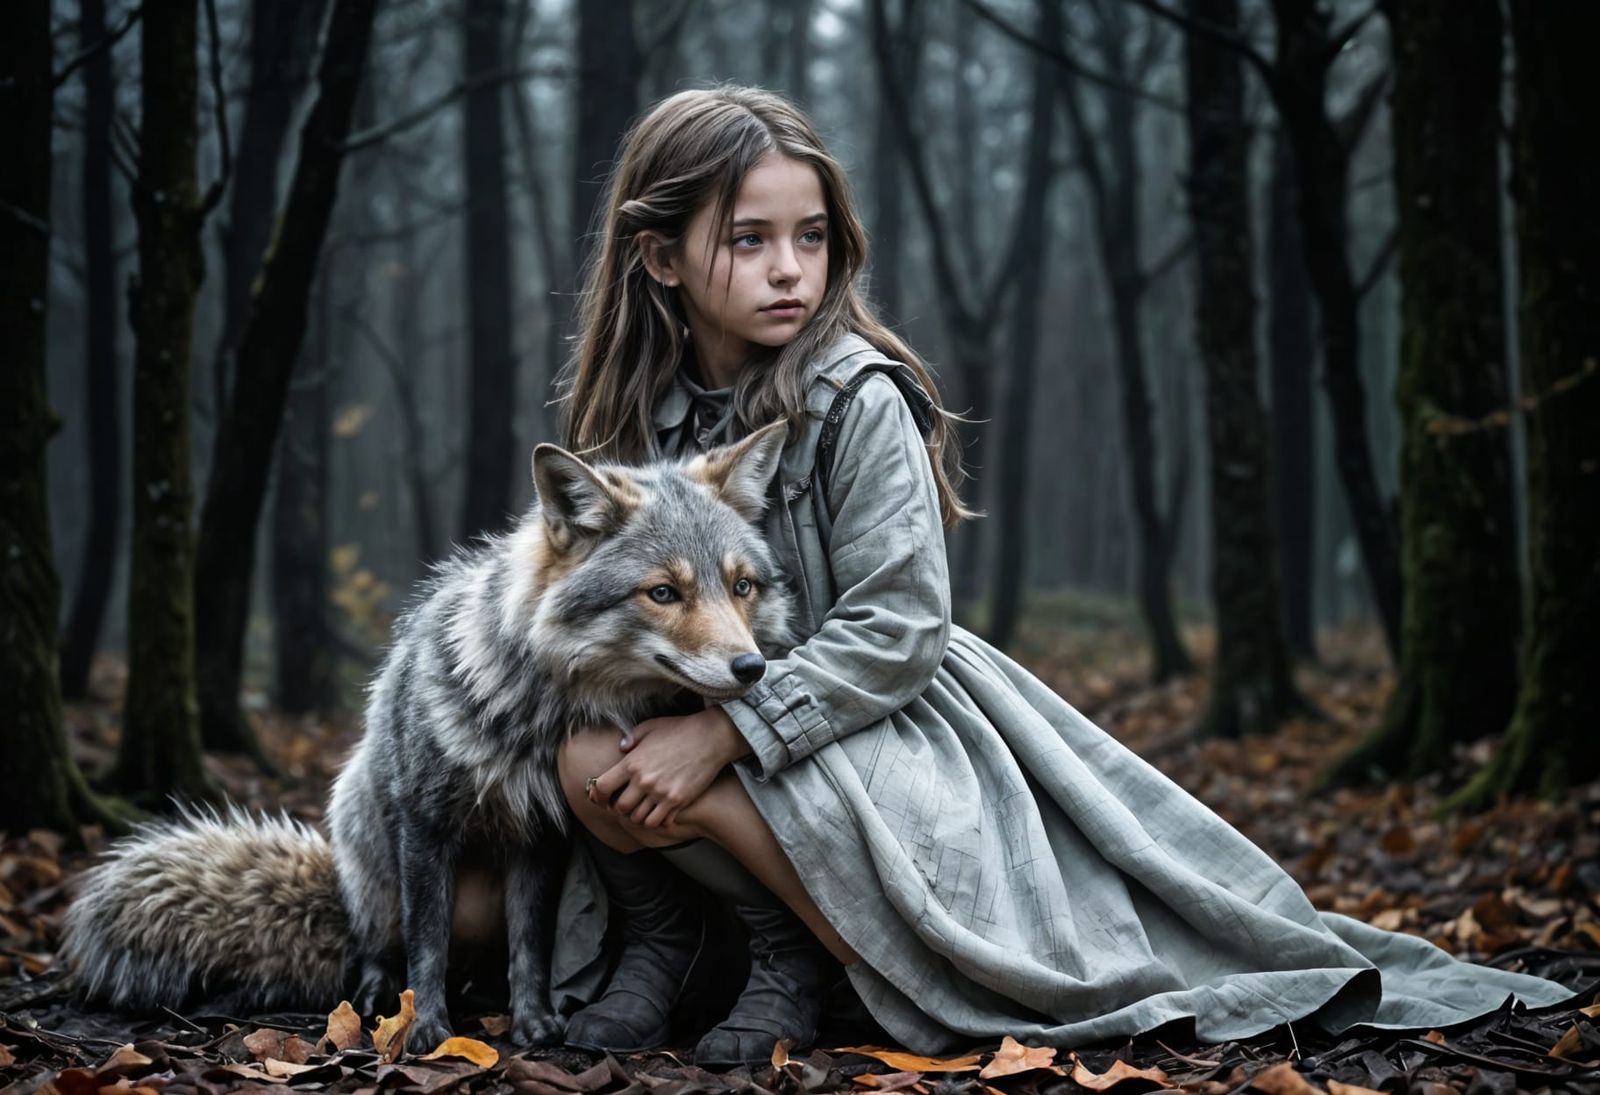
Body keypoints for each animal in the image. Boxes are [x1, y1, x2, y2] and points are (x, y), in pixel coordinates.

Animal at [62, 424, 796, 1049]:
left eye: (741, 586)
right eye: (663, 592)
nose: (752, 668)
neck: (537, 720)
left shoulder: (537, 840)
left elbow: (530, 948)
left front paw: (532, 1022)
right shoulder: (425, 825)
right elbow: (426, 944)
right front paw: (426, 1030)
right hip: (370, 851)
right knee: (377, 950)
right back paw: (376, 998)